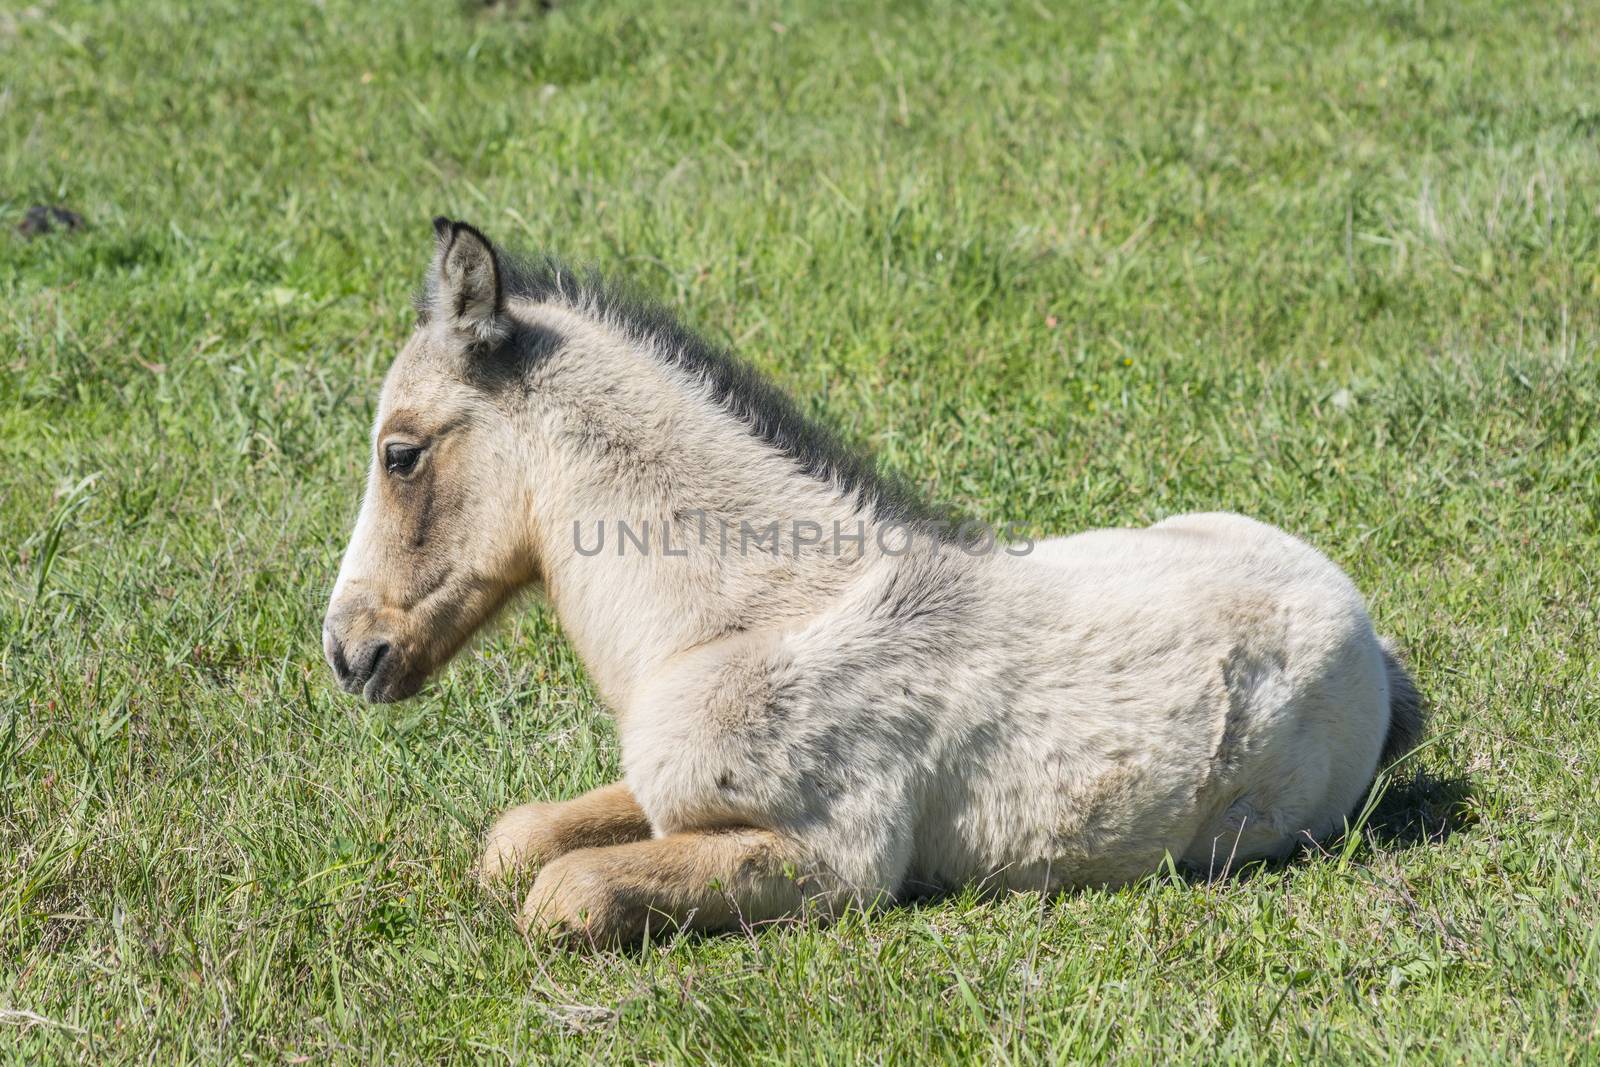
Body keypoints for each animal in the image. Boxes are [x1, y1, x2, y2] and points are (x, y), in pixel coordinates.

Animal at [324, 219, 1427, 940]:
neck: (739, 617)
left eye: (401, 453)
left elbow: (565, 895)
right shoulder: (668, 794)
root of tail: (1366, 630)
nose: (348, 652)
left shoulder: (833, 860)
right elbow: (519, 839)